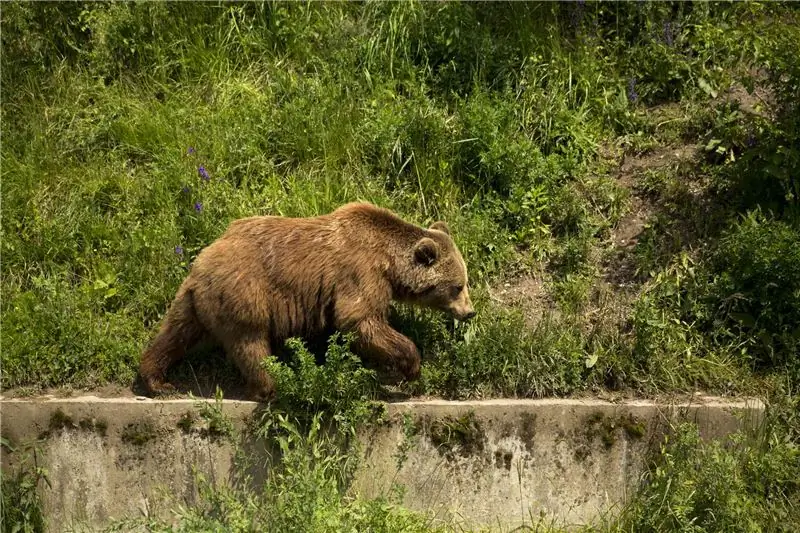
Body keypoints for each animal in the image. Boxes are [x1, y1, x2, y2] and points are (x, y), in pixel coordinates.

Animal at [138, 202, 476, 402]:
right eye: (456, 286)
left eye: (466, 281)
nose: (470, 312)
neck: (389, 262)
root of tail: (203, 262)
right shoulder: (359, 272)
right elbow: (359, 319)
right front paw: (411, 366)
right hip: (245, 292)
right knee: (251, 343)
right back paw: (272, 386)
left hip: (192, 300)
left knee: (174, 333)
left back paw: (157, 380)